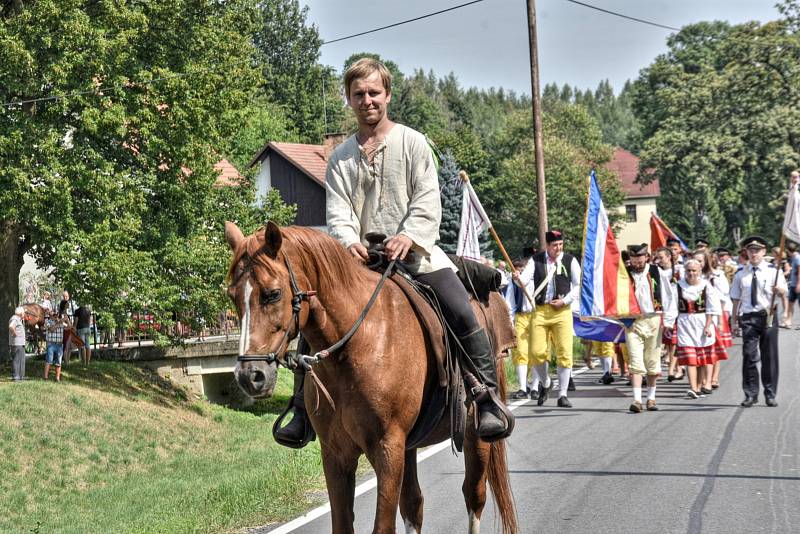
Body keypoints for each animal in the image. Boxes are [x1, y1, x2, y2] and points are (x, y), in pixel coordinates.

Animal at [223, 223, 520, 534]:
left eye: (273, 294)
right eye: (232, 296)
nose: (249, 376)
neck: (360, 343)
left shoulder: (387, 448)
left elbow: (383, 526)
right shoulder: (336, 454)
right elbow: (344, 524)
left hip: (475, 438)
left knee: (474, 496)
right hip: (409, 448)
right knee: (414, 505)